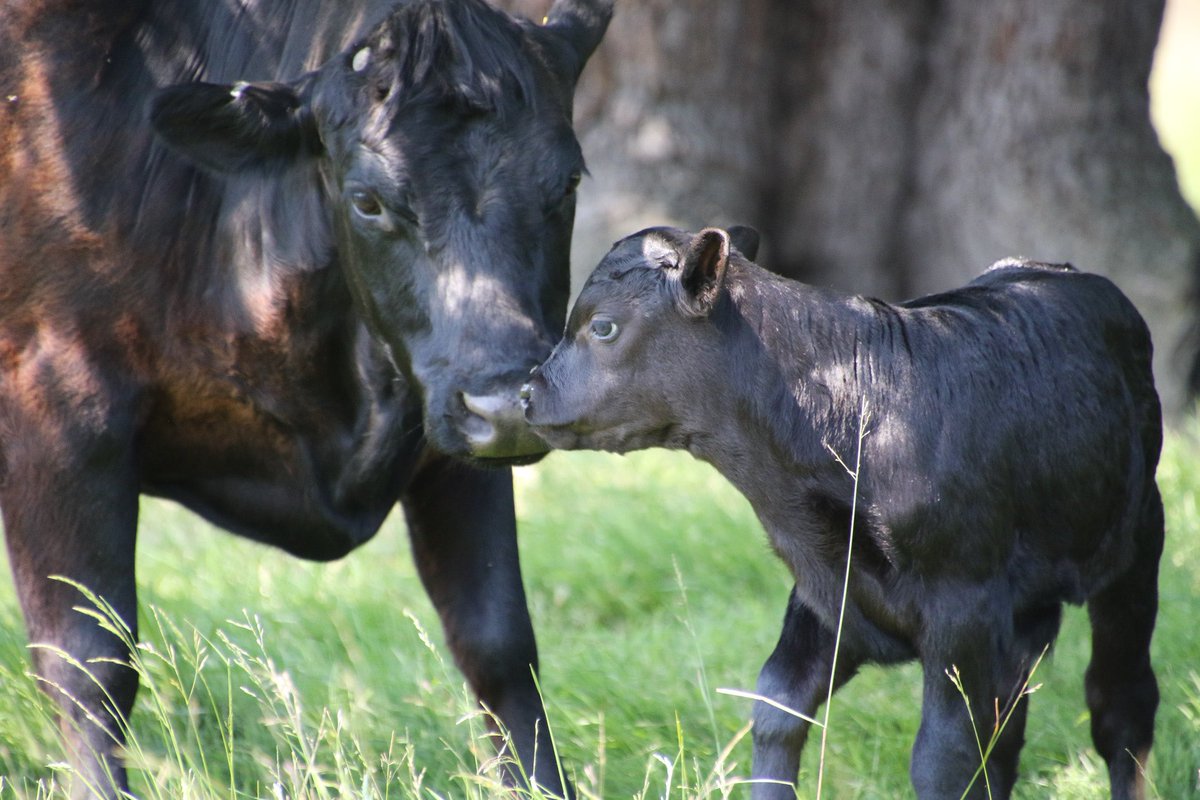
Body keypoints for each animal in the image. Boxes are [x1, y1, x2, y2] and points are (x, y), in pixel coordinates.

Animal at [0, 0, 612, 796]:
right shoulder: (56, 412)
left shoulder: (449, 439)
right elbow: (87, 663)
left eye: (566, 183)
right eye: (368, 201)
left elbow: (498, 644)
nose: (505, 403)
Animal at [521, 225, 1164, 800]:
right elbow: (777, 706)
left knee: (1121, 706)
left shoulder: (963, 604)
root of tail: (1060, 272)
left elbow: (944, 758)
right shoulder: (826, 589)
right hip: (1029, 611)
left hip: (1137, 542)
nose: (528, 393)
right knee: (1009, 731)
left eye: (603, 326)